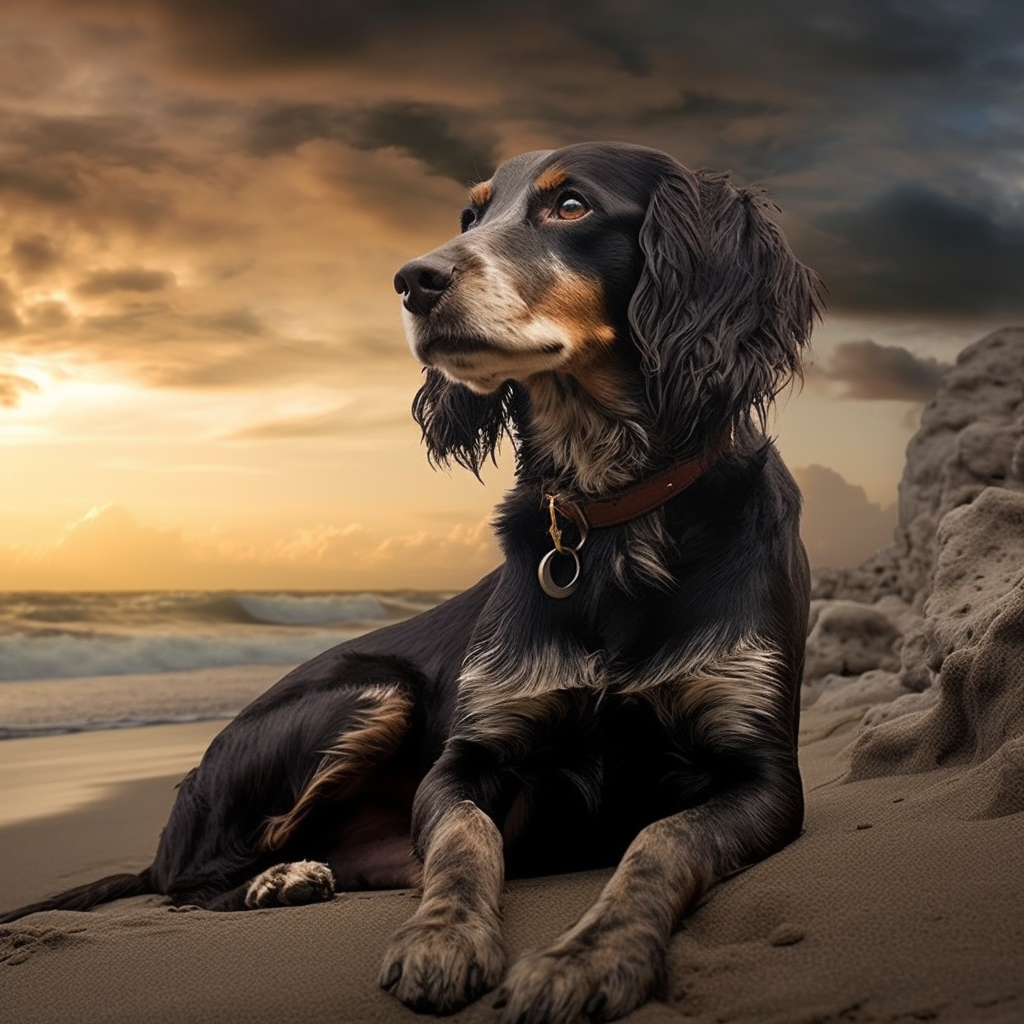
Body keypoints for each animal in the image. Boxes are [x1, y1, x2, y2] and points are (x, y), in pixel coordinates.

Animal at [0, 138, 819, 1024]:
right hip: (370, 690)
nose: (413, 279)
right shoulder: (466, 759)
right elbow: (465, 843)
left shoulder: (761, 770)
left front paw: (590, 956)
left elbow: (658, 841)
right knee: (188, 884)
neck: (611, 512)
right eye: (470, 213)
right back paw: (277, 878)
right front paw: (443, 936)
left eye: (571, 207)